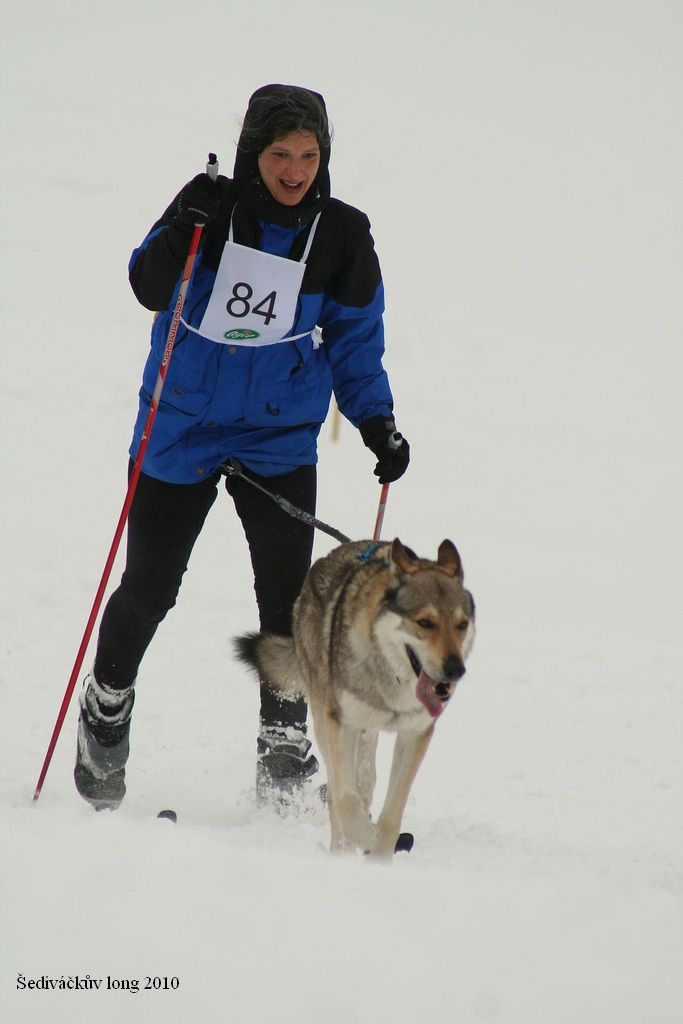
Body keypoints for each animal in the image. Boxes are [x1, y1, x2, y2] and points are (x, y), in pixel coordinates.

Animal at [235, 540, 475, 860]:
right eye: (425, 622)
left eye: (462, 624)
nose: (455, 670)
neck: (392, 680)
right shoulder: (339, 723)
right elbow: (344, 799)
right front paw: (361, 840)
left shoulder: (415, 734)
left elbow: (391, 811)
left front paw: (380, 857)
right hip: (324, 717)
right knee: (340, 792)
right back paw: (342, 848)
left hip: (367, 730)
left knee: (366, 781)